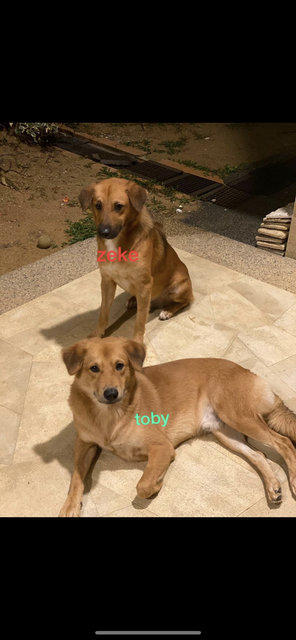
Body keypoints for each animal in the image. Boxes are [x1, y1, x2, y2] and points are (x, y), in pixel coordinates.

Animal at [59, 336, 296, 516]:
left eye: (120, 366)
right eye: (94, 368)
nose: (111, 393)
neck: (108, 416)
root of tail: (246, 370)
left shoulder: (161, 447)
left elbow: (143, 485)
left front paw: (155, 486)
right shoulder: (85, 445)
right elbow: (75, 478)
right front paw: (70, 506)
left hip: (237, 416)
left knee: (284, 443)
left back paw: (293, 480)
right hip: (225, 433)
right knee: (259, 455)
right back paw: (273, 487)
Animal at [78, 178, 194, 342]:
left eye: (118, 206)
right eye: (98, 205)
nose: (103, 232)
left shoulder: (145, 284)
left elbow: (139, 321)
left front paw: (137, 342)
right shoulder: (107, 281)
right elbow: (103, 313)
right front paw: (97, 335)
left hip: (179, 288)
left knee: (185, 301)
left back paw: (167, 311)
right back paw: (134, 300)